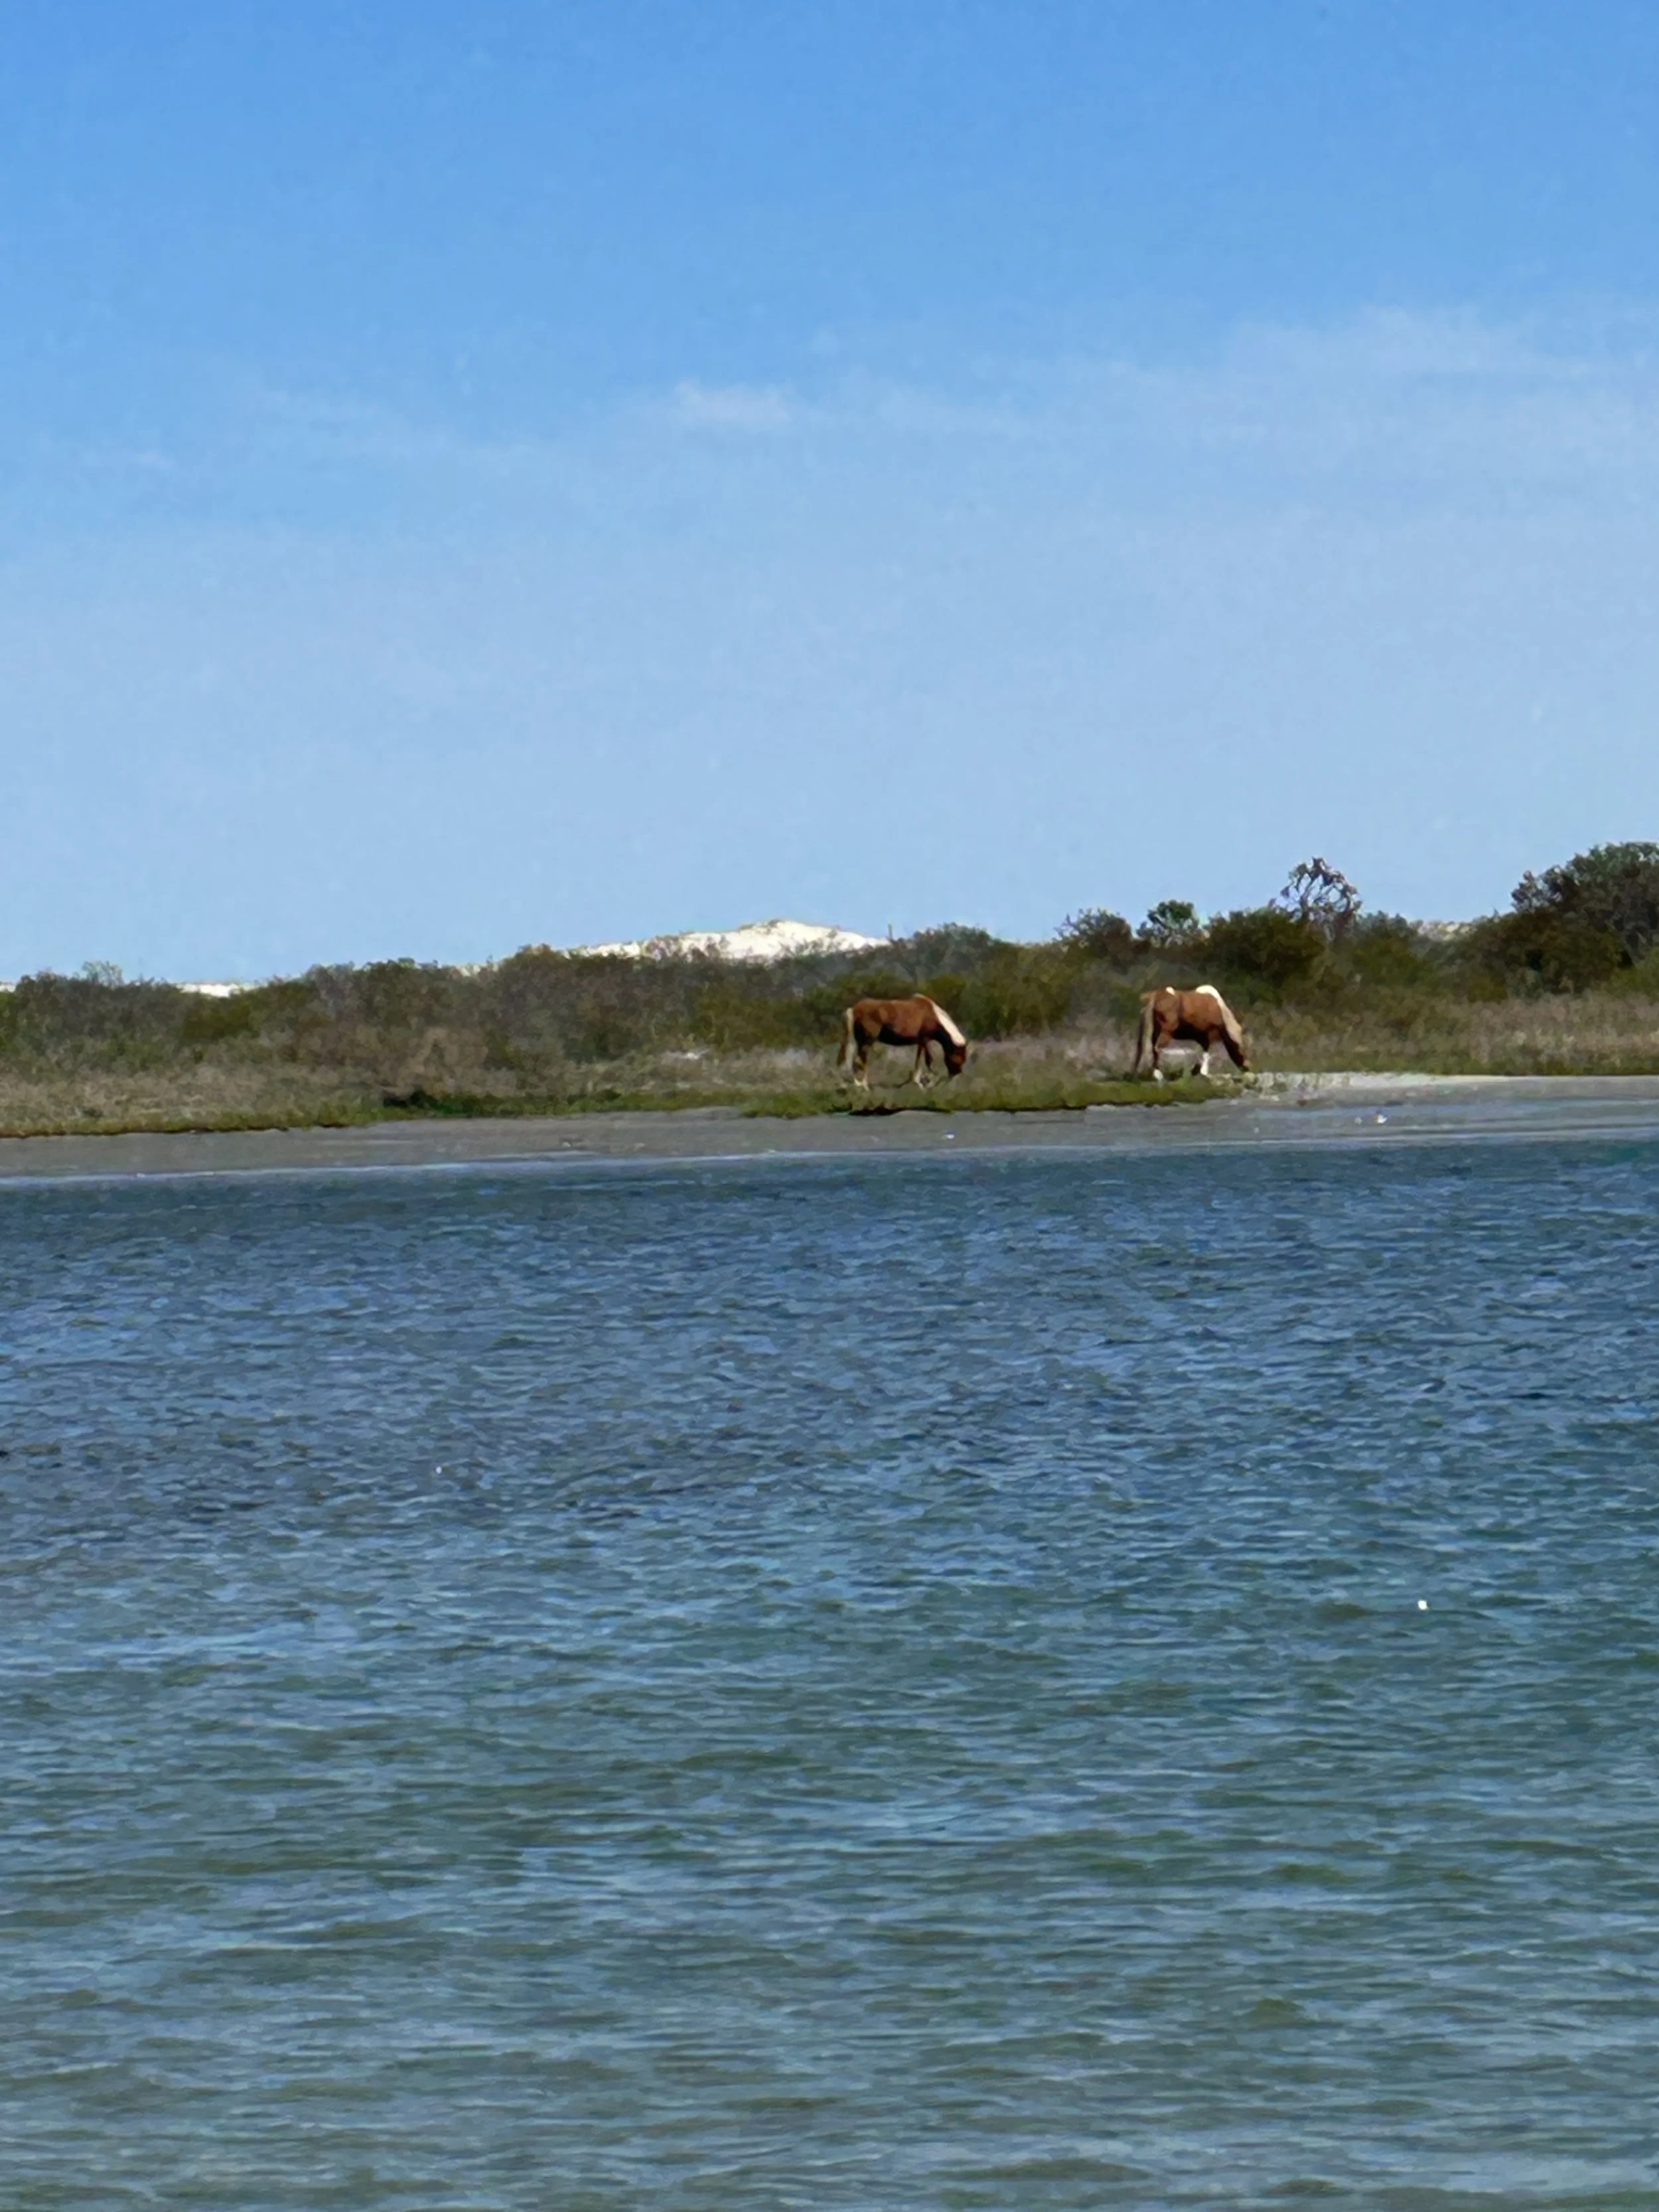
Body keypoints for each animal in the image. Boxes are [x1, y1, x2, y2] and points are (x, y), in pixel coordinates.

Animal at [838, 996, 969, 1089]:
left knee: (855, 1061)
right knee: (860, 1061)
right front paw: (926, 1081)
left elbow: (919, 1060)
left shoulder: (921, 1042)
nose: (955, 1075)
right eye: (959, 1055)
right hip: (868, 1042)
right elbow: (928, 1060)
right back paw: (863, 1086)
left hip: (861, 1042)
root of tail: (854, 1009)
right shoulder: (925, 1040)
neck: (933, 1016)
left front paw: (917, 1081)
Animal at [1133, 984, 1250, 1081]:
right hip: (1166, 1031)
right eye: (1242, 1048)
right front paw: (1204, 1072)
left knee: (1147, 1048)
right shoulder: (1208, 1034)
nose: (1247, 1068)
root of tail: (1154, 997)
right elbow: (1207, 1053)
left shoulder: (1200, 1037)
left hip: (1155, 1031)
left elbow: (1202, 1053)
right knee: (1157, 1048)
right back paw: (1158, 1074)